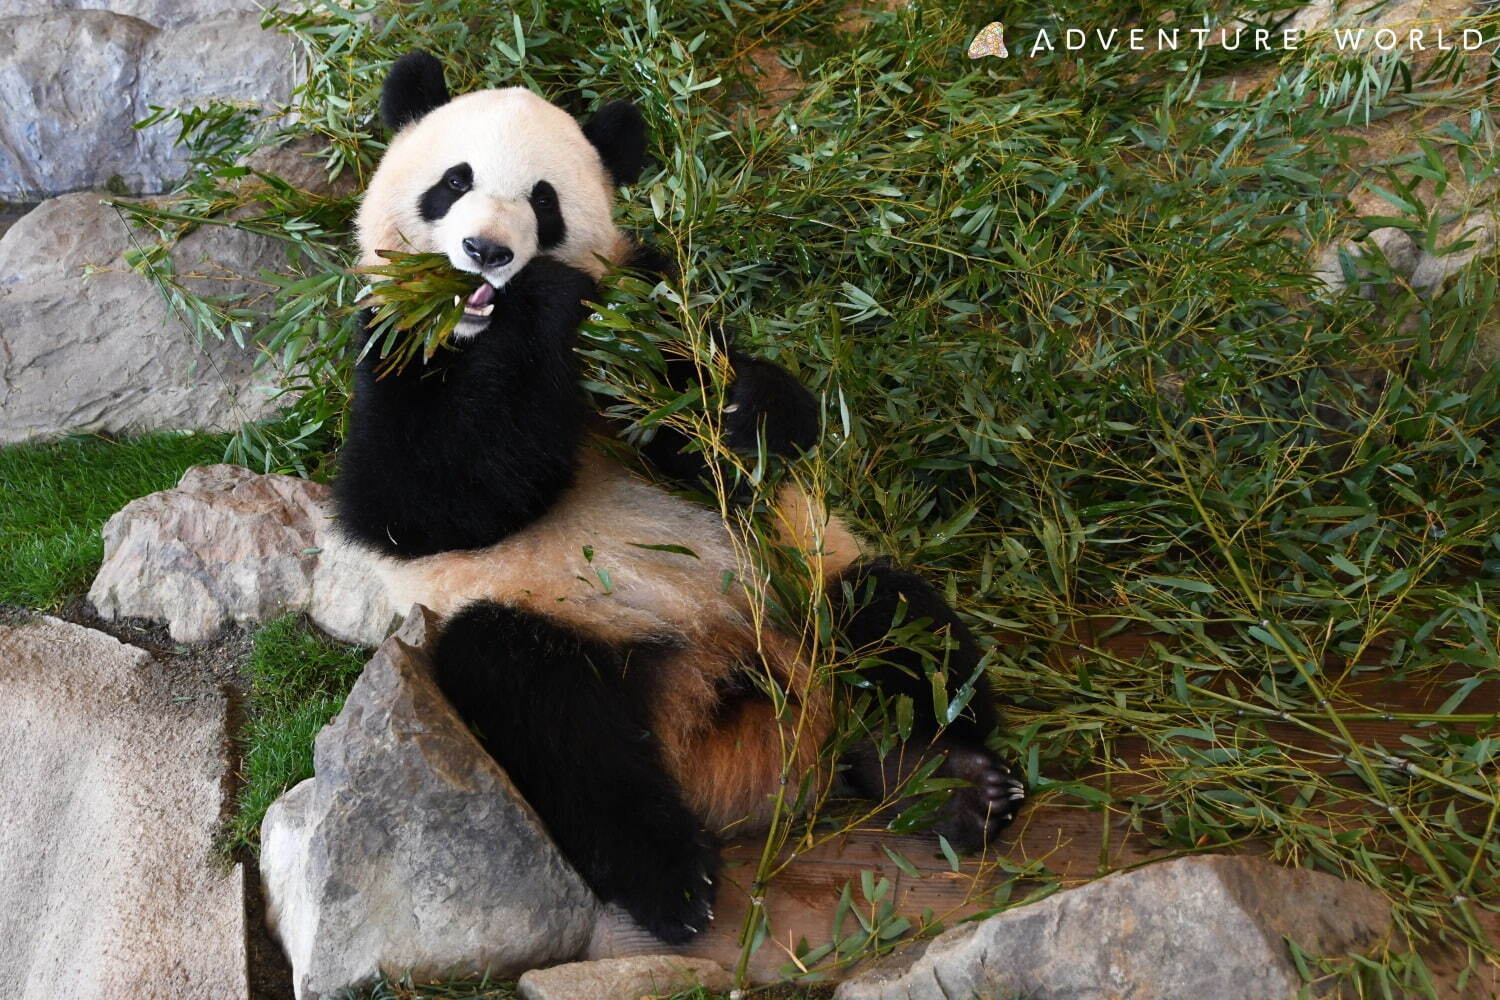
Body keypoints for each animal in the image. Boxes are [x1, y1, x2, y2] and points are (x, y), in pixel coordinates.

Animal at [334, 52, 1026, 947]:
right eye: (454, 182)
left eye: (543, 201)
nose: (489, 252)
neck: (481, 336)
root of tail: (727, 722)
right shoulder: (390, 344)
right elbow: (415, 499)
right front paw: (539, 308)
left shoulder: (649, 300)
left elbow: (730, 418)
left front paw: (734, 416)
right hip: (556, 620)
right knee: (551, 717)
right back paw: (675, 882)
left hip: (800, 578)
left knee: (898, 626)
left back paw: (949, 779)